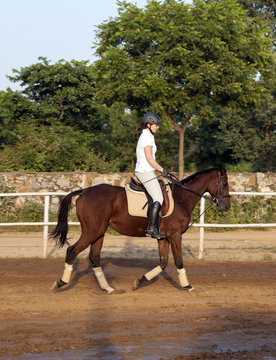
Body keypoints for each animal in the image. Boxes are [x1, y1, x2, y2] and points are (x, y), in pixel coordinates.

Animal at [50, 167, 231, 294]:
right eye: (224, 184)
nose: (226, 206)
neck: (181, 198)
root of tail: (84, 191)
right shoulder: (175, 236)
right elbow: (178, 261)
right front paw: (188, 286)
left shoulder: (163, 237)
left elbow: (163, 263)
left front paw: (140, 281)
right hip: (91, 231)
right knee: (72, 251)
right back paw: (60, 283)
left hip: (99, 233)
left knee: (94, 258)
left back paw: (108, 288)